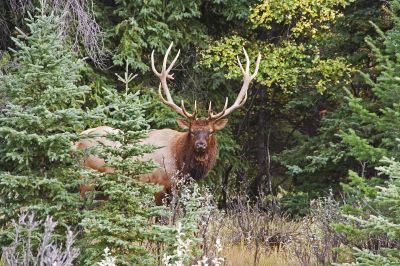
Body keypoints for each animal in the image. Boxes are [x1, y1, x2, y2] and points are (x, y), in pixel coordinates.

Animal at [76, 43, 260, 204]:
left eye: (211, 131)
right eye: (192, 131)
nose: (200, 145)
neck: (181, 165)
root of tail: (76, 142)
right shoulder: (157, 187)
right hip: (88, 179)